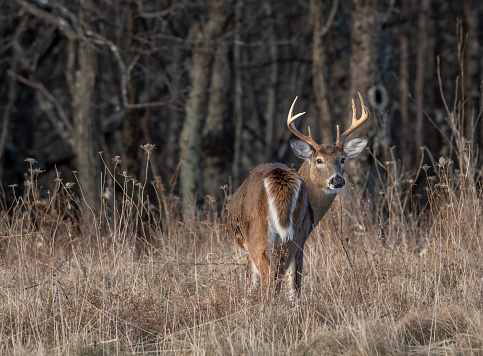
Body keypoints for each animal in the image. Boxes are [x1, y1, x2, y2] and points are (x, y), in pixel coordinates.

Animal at [229, 92, 368, 300]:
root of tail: (279, 177)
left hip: (260, 234)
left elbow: (255, 283)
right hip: (289, 235)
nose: (337, 180)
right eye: (319, 160)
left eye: (342, 159)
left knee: (272, 276)